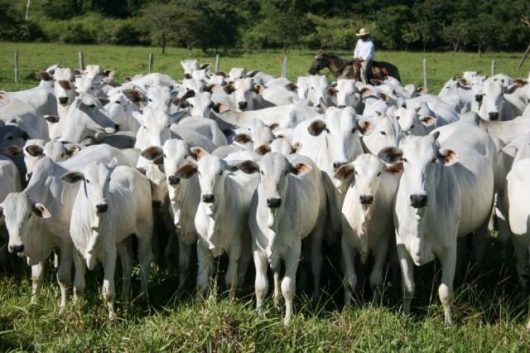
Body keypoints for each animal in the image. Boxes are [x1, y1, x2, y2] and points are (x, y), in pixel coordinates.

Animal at [236, 153, 326, 324]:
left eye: (285, 172)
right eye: (262, 171)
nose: (273, 201)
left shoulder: (294, 250)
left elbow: (288, 286)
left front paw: (288, 320)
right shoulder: (258, 249)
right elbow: (260, 285)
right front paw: (259, 315)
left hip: (318, 228)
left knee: (317, 261)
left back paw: (316, 296)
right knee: (277, 269)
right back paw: (277, 300)